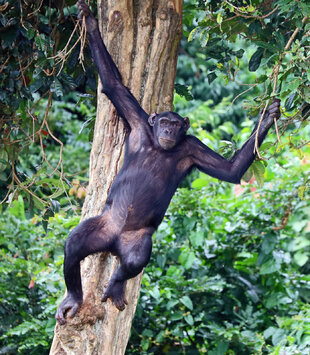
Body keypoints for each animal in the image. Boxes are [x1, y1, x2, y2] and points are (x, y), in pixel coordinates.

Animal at [55, 0, 280, 326]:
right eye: (163, 121)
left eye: (175, 124)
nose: (168, 130)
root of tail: (113, 243)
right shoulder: (137, 122)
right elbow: (113, 85)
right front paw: (91, 22)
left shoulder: (192, 147)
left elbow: (229, 171)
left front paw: (270, 115)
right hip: (104, 226)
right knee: (74, 243)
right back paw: (74, 297)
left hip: (135, 240)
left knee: (134, 260)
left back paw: (115, 285)